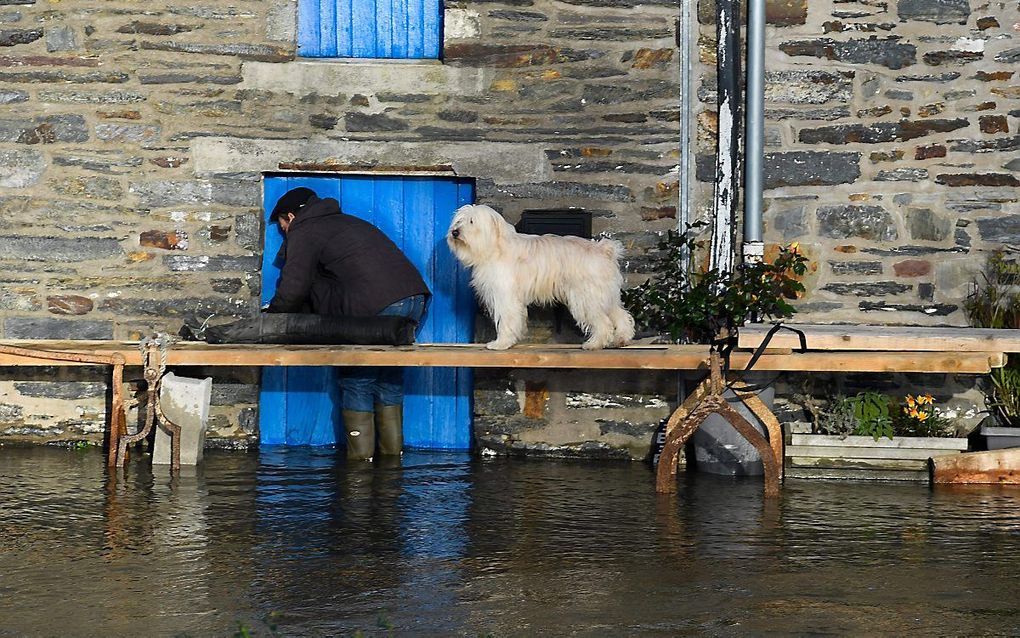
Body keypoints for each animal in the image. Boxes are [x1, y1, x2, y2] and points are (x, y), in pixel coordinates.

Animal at [448, 204, 636, 351]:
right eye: (458, 221)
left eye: (472, 221)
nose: (455, 232)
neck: (495, 246)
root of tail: (604, 250)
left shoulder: (505, 295)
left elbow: (507, 319)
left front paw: (501, 343)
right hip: (605, 295)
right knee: (620, 315)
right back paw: (622, 339)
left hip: (586, 297)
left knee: (603, 323)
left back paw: (594, 344)